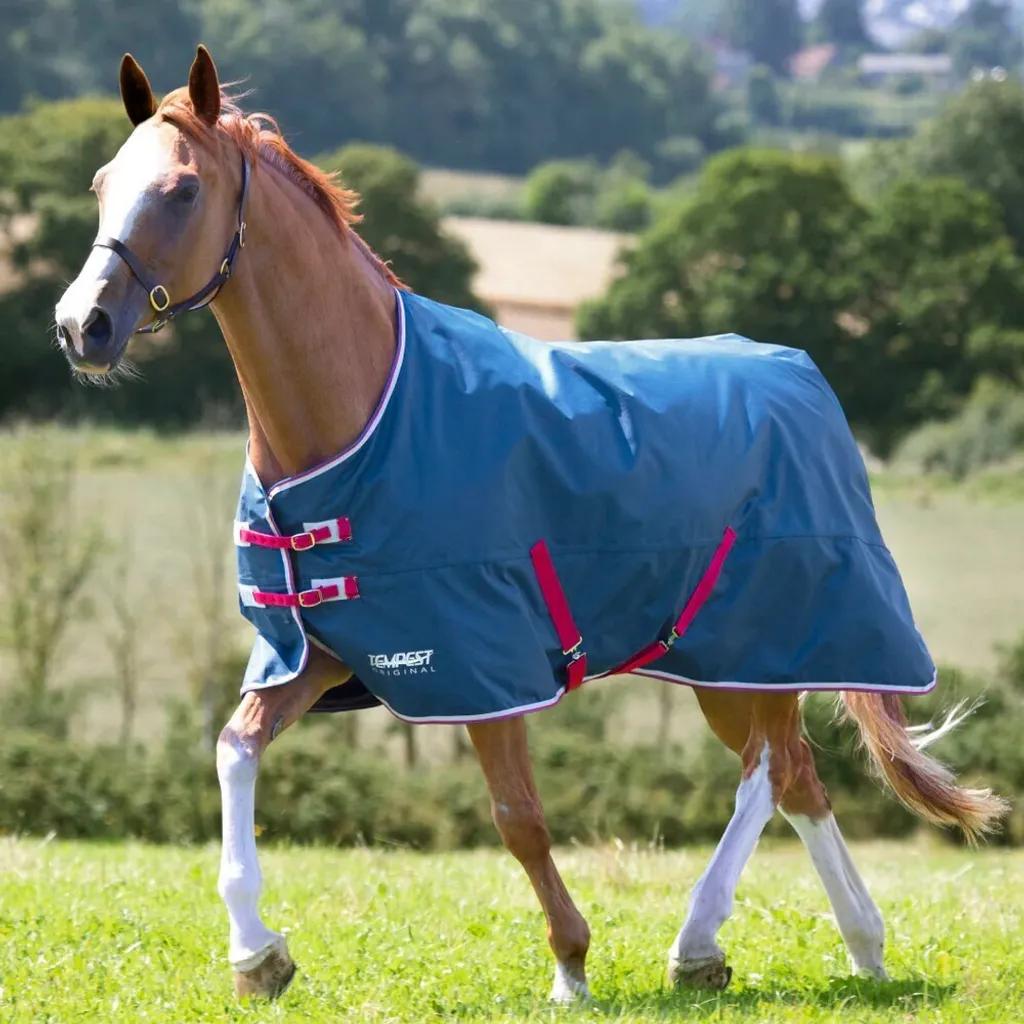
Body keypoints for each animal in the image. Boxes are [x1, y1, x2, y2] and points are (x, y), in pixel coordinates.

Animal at [55, 46, 1006, 1004]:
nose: (79, 325)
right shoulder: (318, 653)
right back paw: (863, 947)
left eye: (181, 190)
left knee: (766, 773)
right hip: (732, 666)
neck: (362, 411)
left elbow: (518, 817)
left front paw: (571, 965)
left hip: (771, 637)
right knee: (798, 777)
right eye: (101, 184)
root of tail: (804, 381)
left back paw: (699, 943)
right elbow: (234, 749)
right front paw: (259, 955)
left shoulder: (486, 664)